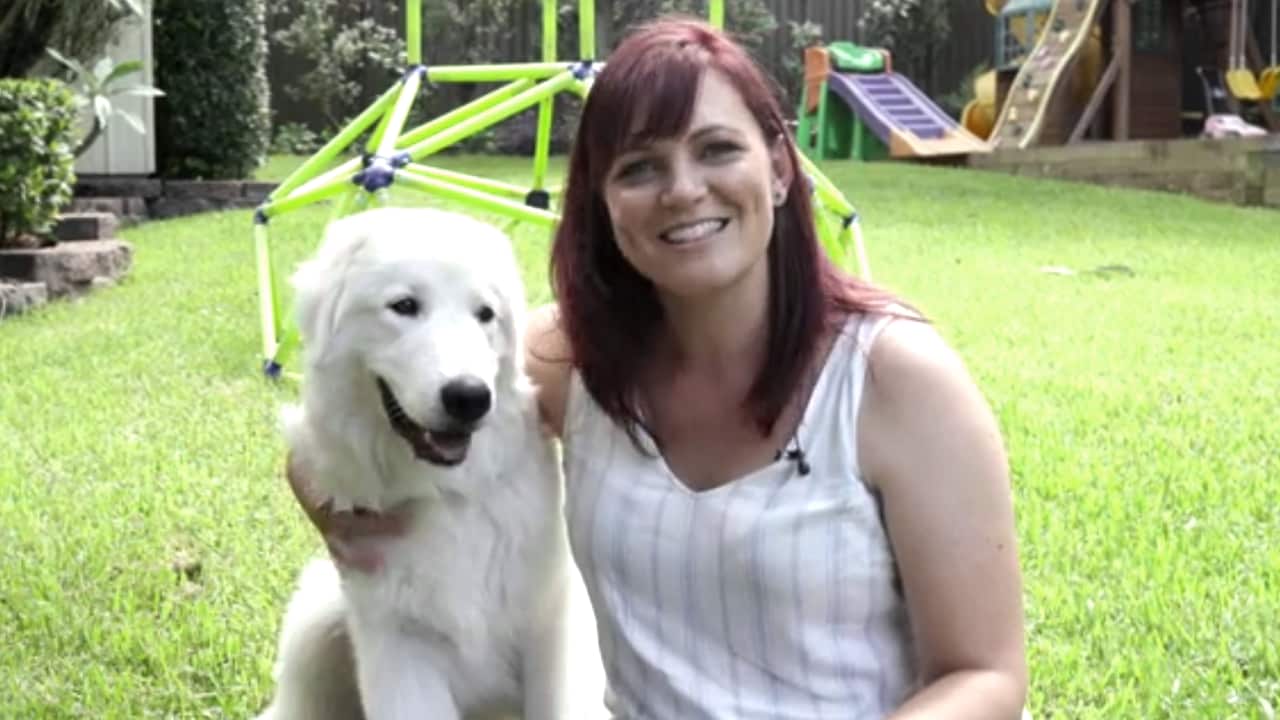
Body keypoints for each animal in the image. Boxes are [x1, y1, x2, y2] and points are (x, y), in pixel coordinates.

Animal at [256, 207, 605, 720]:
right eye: (404, 306)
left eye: (485, 315)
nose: (469, 397)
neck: (445, 492)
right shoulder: (400, 648)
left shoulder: (553, 622)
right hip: (316, 619)